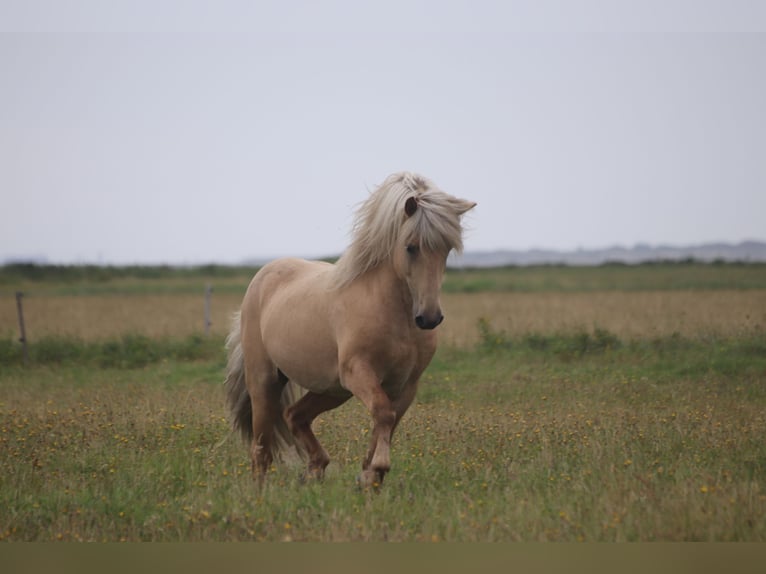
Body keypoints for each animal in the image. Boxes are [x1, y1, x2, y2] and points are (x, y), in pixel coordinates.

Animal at [224, 173, 474, 488]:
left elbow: (388, 421)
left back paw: (314, 470)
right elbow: (383, 412)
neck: (395, 314)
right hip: (265, 381)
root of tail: (261, 277)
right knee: (261, 450)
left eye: (447, 249)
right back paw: (261, 492)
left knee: (294, 416)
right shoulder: (359, 371)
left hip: (333, 389)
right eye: (410, 246)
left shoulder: (406, 385)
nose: (429, 318)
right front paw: (377, 467)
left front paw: (369, 476)